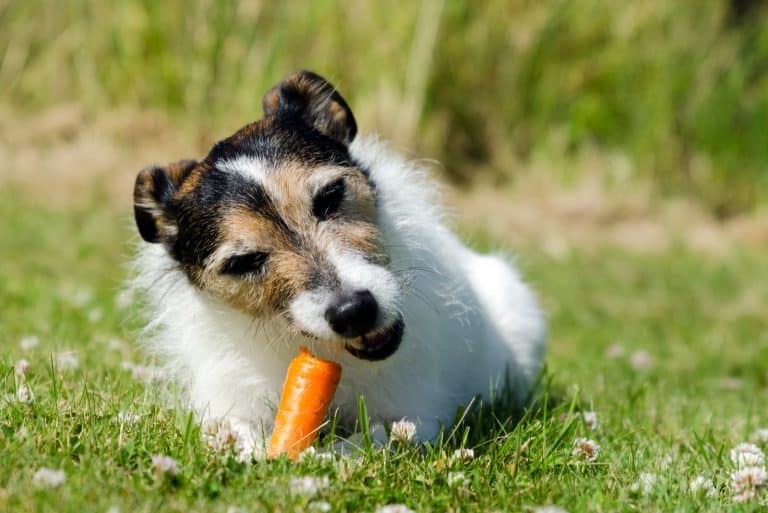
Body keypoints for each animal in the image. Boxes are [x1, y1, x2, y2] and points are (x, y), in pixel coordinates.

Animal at [134, 70, 552, 458]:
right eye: (244, 261)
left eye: (330, 195)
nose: (354, 311)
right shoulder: (227, 402)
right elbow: (231, 430)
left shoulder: (418, 415)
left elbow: (373, 439)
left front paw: (325, 457)